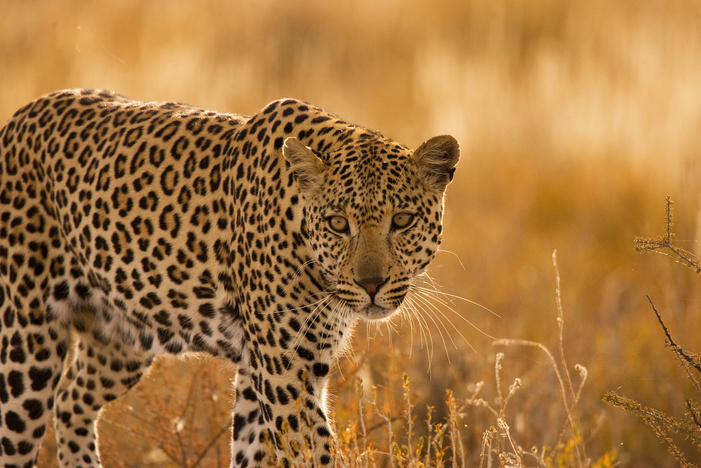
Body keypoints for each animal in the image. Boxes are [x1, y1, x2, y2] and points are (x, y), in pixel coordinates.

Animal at [0, 89, 459, 468]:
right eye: (337, 223)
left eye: (402, 220)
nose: (371, 284)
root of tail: (17, 118)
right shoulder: (284, 371)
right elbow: (314, 453)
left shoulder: (262, 371)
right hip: (26, 347)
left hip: (119, 340)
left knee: (71, 402)